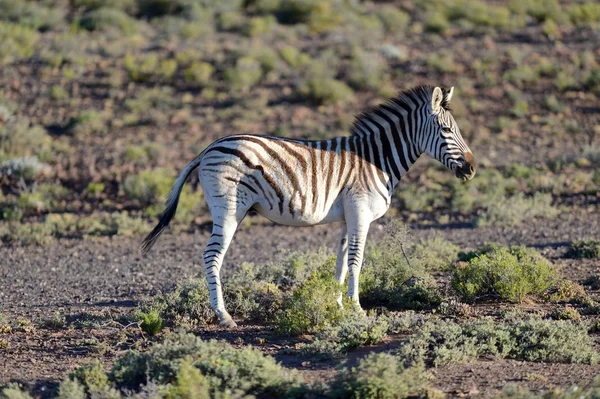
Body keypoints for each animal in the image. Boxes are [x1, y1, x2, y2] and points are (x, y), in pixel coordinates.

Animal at [139, 84, 474, 328]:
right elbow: (357, 261)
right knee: (211, 256)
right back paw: (224, 316)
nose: (471, 169)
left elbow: (341, 262)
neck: (376, 159)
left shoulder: (348, 216)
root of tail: (208, 148)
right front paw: (357, 309)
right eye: (447, 131)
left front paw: (337, 306)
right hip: (229, 209)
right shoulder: (361, 212)